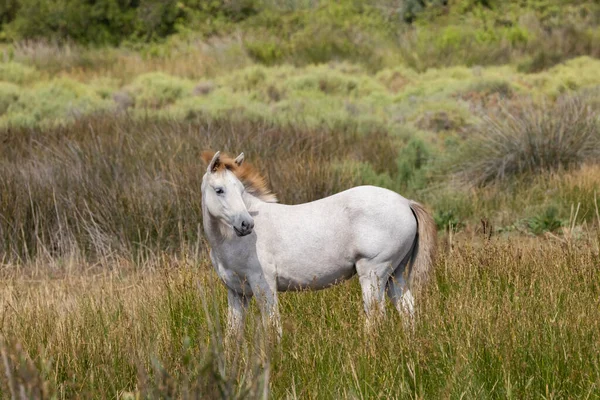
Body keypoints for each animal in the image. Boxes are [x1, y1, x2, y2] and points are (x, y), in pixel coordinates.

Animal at [202, 152, 436, 336]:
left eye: (241, 190)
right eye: (219, 190)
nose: (246, 224)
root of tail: (406, 203)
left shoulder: (263, 285)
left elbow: (273, 326)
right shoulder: (237, 293)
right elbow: (233, 334)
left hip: (373, 275)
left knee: (376, 317)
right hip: (395, 275)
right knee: (408, 311)